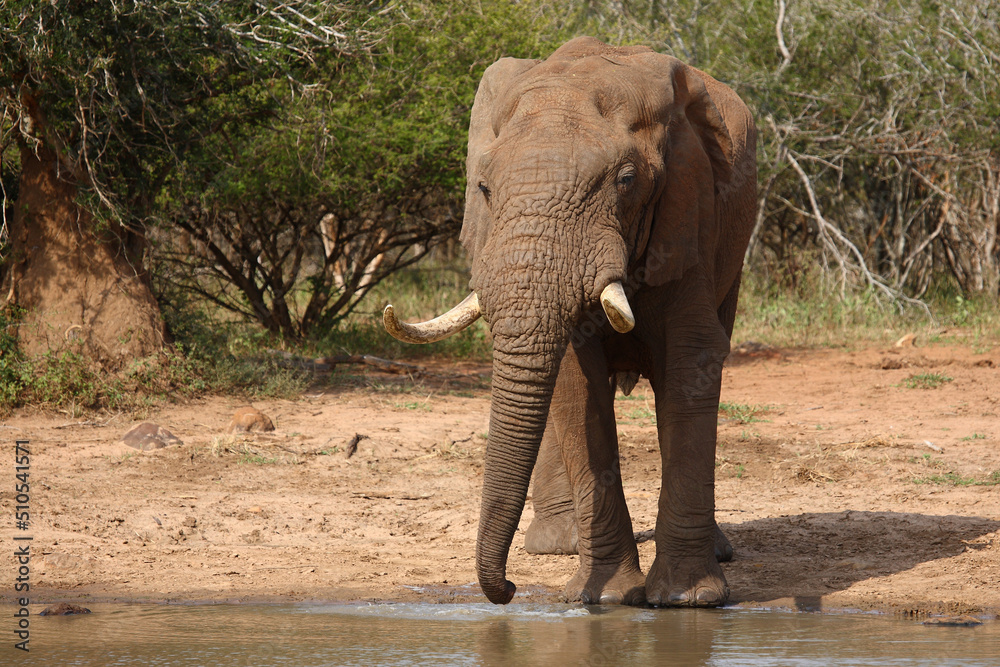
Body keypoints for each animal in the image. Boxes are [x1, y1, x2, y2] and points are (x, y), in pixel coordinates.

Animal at [383, 36, 756, 607]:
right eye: (483, 188)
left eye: (627, 181)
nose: (509, 588)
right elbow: (575, 384)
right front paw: (606, 598)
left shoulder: (691, 214)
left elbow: (691, 363)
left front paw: (686, 600)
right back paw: (560, 546)